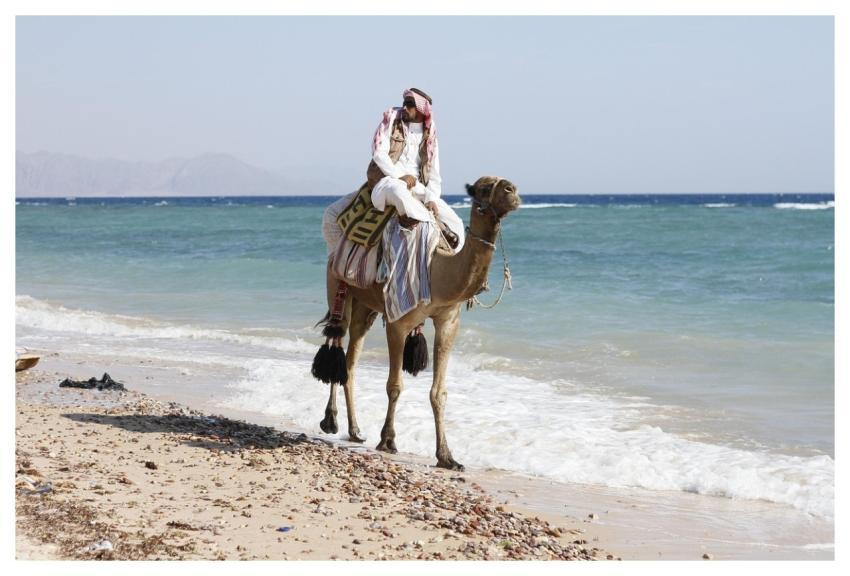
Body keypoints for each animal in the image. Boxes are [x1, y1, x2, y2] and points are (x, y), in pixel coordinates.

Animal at [316, 176, 521, 470]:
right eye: (483, 188)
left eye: (505, 185)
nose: (511, 191)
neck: (437, 270)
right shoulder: (398, 323)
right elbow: (395, 386)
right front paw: (388, 440)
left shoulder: (448, 321)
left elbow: (439, 392)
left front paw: (447, 456)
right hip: (339, 288)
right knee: (337, 341)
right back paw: (330, 421)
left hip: (365, 308)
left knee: (351, 360)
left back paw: (355, 430)